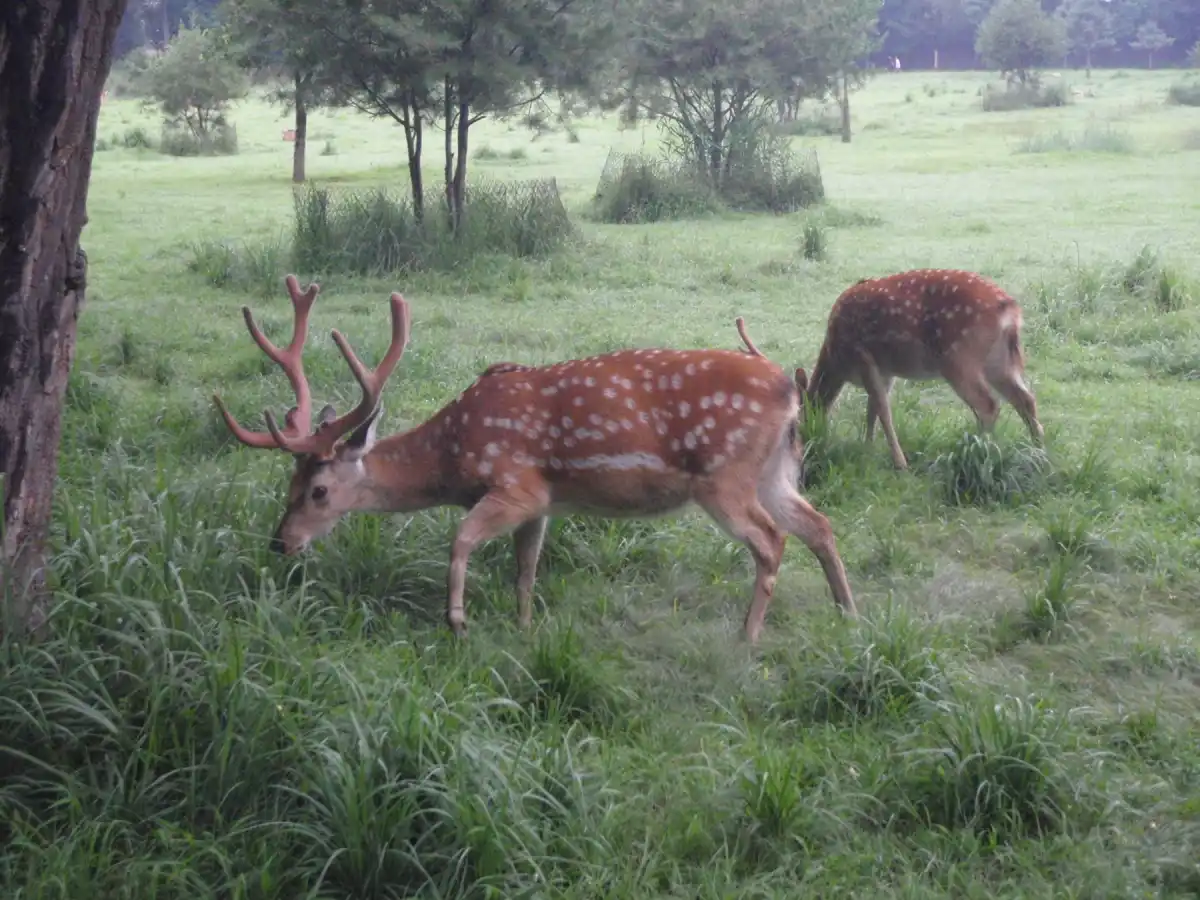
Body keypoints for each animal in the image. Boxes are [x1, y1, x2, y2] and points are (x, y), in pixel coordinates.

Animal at [212, 275, 857, 644]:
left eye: (318, 490)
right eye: (288, 485)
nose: (281, 543)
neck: (453, 455)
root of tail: (788, 391)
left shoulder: (513, 484)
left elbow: (461, 540)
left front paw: (457, 621)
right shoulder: (544, 502)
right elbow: (525, 570)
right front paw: (523, 629)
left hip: (725, 476)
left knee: (772, 540)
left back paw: (746, 639)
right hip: (774, 471)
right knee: (818, 524)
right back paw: (847, 613)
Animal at [794, 269, 1044, 471]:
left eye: (796, 421)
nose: (807, 446)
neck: (836, 359)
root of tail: (1009, 309)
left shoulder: (863, 357)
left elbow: (882, 409)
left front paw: (899, 462)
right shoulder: (885, 370)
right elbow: (873, 409)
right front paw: (868, 448)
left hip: (958, 358)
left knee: (988, 404)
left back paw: (977, 449)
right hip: (998, 361)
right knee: (1025, 399)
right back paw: (1039, 450)